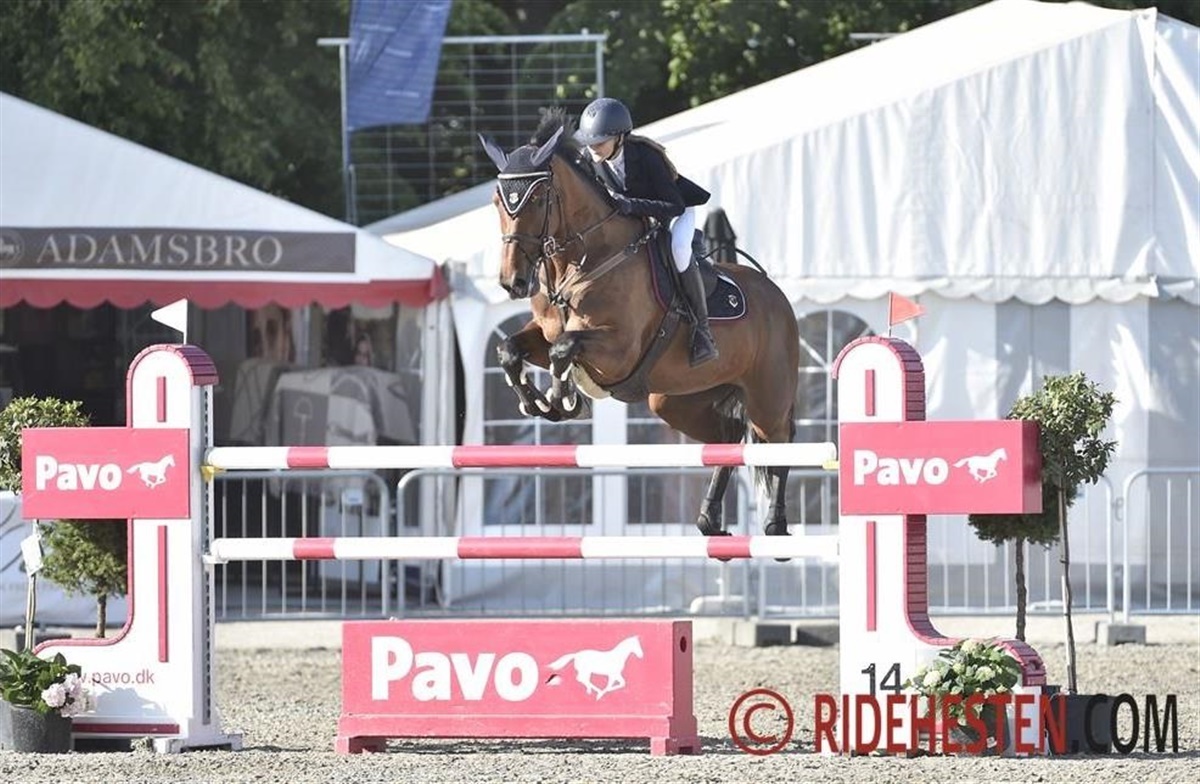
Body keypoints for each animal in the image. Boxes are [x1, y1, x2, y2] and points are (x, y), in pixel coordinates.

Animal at [479, 108, 800, 537]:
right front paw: (539, 403)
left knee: (778, 440)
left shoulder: (617, 350)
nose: (511, 281)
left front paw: (564, 400)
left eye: (538, 198)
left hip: (768, 396)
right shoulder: (545, 333)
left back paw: (775, 525)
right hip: (673, 400)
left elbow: (565, 350)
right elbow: (509, 349)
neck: (579, 261)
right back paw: (709, 520)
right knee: (728, 436)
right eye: (499, 201)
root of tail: (777, 296)